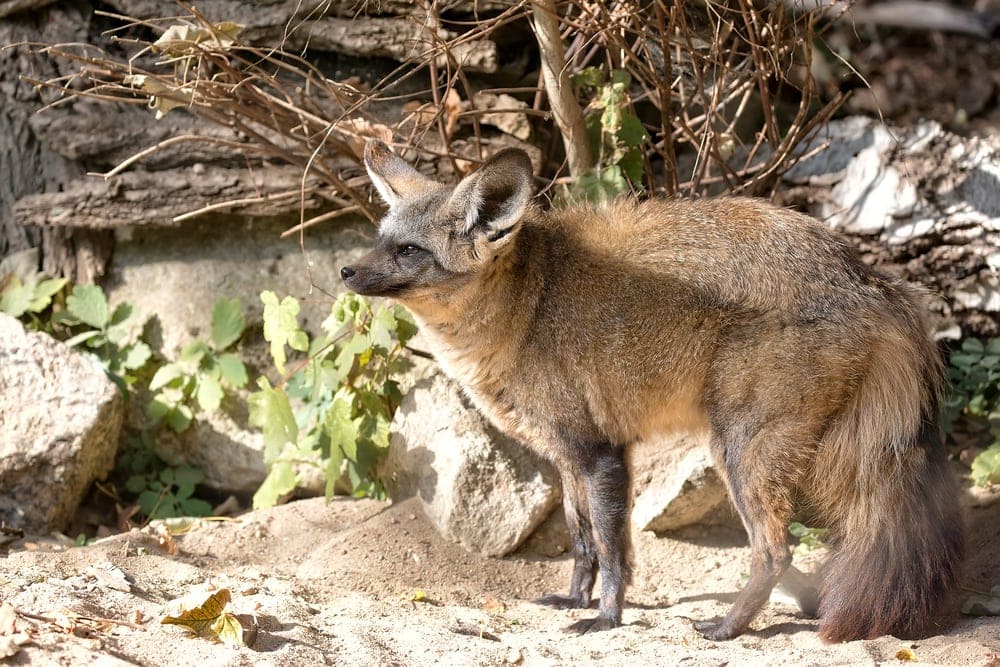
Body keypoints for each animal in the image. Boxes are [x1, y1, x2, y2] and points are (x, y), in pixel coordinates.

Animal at [340, 140, 965, 642]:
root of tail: (869, 277)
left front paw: (605, 619)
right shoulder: (570, 456)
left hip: (738, 453)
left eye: (409, 251)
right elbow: (582, 540)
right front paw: (575, 600)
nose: (345, 271)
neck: (530, 304)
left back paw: (729, 627)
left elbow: (613, 549)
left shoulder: (602, 455)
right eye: (380, 240)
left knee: (774, 551)